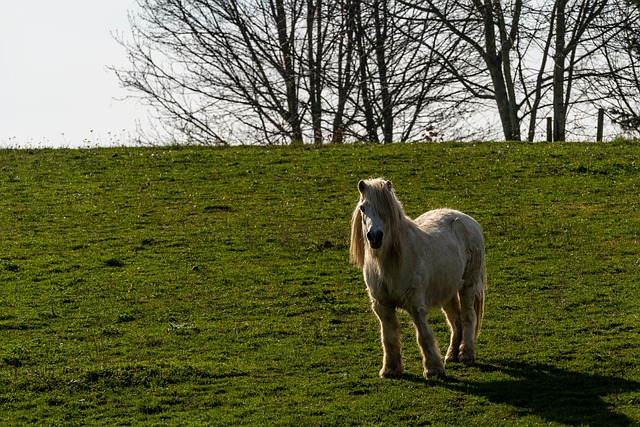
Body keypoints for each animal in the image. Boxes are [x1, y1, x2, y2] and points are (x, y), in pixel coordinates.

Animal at [350, 179, 484, 380]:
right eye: (363, 207)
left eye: (386, 209)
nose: (375, 236)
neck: (389, 263)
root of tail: (466, 218)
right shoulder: (383, 306)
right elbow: (389, 337)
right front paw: (390, 369)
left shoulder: (416, 305)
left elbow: (423, 335)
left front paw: (433, 370)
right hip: (448, 291)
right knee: (455, 320)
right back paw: (451, 355)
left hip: (468, 284)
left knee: (468, 316)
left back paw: (466, 355)